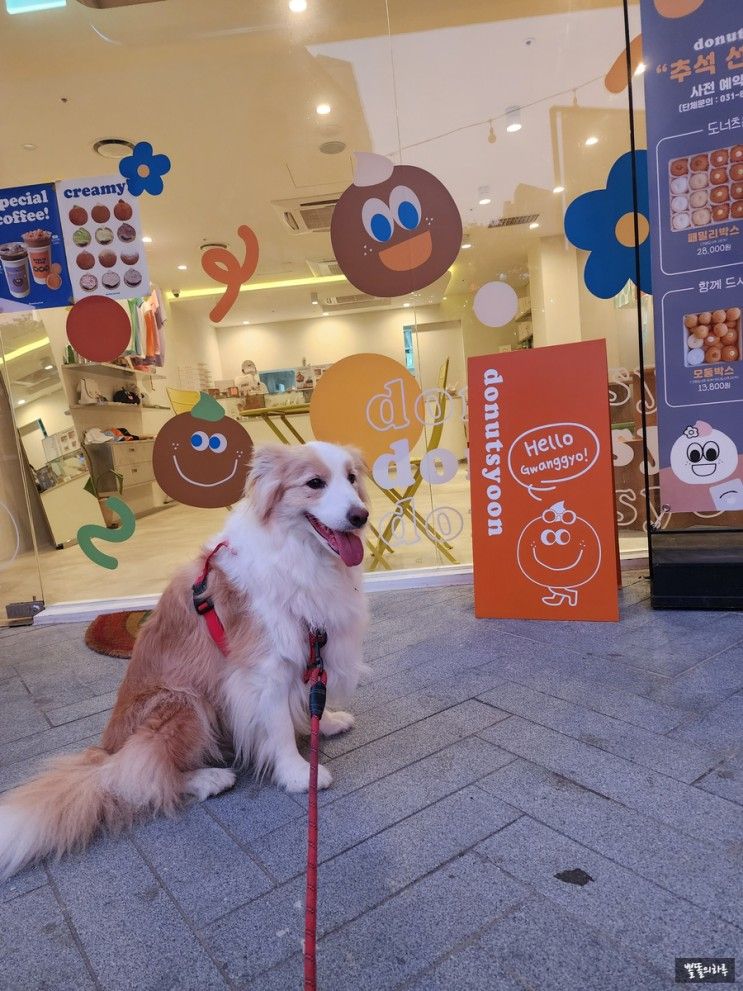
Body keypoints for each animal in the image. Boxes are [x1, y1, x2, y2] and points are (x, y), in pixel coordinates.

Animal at [0, 442, 370, 876]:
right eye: (314, 483)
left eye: (351, 479)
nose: (360, 516)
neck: (299, 554)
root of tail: (104, 754)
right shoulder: (265, 668)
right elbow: (278, 726)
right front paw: (296, 773)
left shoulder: (313, 640)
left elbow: (316, 696)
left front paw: (326, 723)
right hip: (182, 702)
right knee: (138, 775)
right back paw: (209, 779)